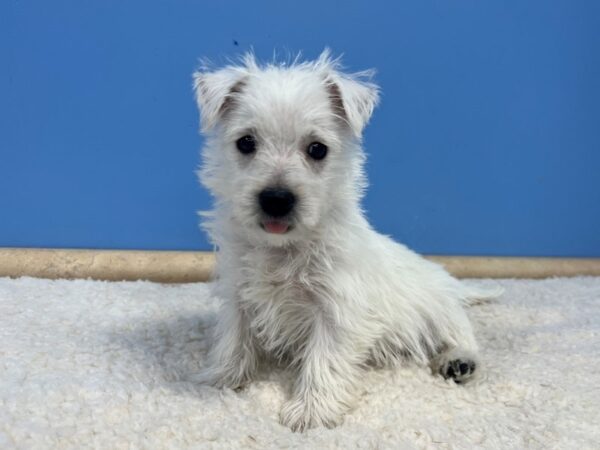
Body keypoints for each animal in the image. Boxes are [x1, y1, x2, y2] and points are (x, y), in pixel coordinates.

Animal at [193, 51, 502, 430]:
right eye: (246, 142)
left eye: (317, 149)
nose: (276, 199)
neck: (284, 250)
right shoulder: (237, 293)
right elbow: (233, 339)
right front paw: (220, 379)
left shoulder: (337, 308)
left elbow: (323, 359)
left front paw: (310, 411)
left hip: (441, 309)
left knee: (461, 333)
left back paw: (459, 360)